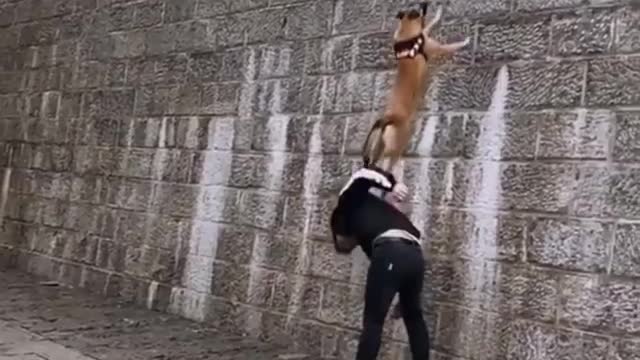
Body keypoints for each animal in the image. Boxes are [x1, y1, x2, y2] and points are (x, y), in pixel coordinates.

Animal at [360, 4, 470, 174]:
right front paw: (465, 42)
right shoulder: (436, 47)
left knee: (374, 162)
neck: (406, 33)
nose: (424, 3)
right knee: (388, 163)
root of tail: (389, 118)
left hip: (380, 145)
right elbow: (451, 46)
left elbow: (430, 25)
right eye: (417, 10)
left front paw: (438, 14)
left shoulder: (424, 34)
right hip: (397, 144)